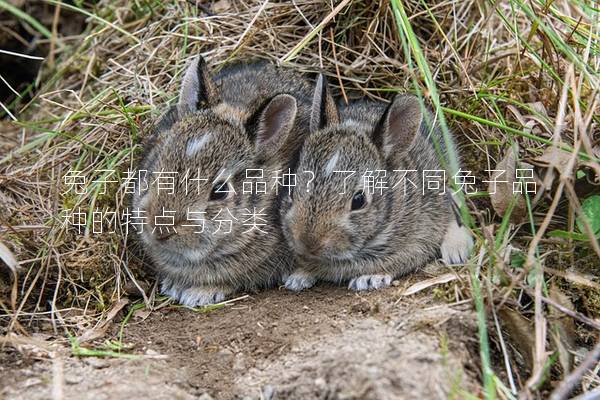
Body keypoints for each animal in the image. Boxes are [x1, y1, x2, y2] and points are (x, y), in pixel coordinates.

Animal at [282, 75, 474, 290]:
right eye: (292, 189)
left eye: (359, 201)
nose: (308, 243)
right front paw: (298, 277)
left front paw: (370, 278)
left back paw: (455, 252)